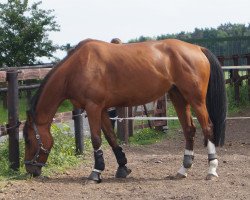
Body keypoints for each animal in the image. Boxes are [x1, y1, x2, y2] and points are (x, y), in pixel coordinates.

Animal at [23, 38, 227, 183]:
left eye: (28, 140)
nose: (30, 170)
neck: (78, 66)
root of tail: (197, 48)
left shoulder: (93, 107)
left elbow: (96, 139)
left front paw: (95, 172)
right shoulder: (102, 109)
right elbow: (111, 137)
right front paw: (122, 167)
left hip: (196, 99)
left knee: (207, 127)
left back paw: (212, 170)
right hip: (179, 97)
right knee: (189, 130)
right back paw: (183, 170)